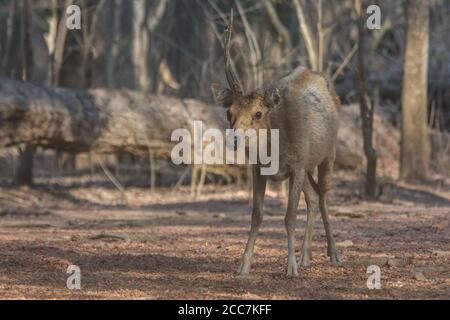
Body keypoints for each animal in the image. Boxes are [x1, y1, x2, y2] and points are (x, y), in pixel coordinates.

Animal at [211, 11, 342, 276]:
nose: (235, 139)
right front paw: (243, 266)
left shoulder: (297, 165)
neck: (276, 152)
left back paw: (333, 254)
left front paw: (290, 267)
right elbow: (257, 215)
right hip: (307, 167)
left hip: (328, 155)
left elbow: (289, 217)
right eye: (229, 112)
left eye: (258, 113)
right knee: (313, 198)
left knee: (323, 197)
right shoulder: (258, 169)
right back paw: (305, 257)